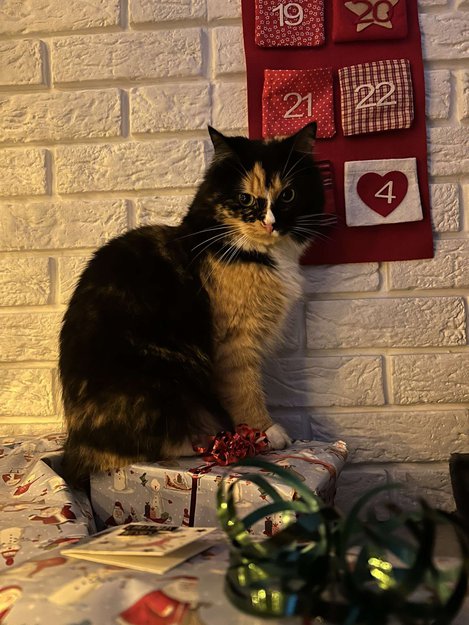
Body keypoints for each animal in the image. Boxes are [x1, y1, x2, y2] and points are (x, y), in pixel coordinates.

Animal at [59, 121, 329, 486]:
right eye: (244, 198)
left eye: (287, 195)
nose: (270, 222)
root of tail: (76, 447)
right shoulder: (235, 343)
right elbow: (246, 389)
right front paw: (266, 432)